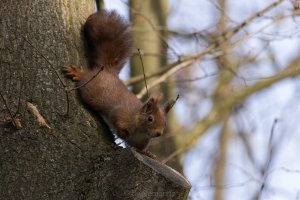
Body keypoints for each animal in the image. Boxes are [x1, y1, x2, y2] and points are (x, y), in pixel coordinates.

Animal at [62, 10, 177, 152]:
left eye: (165, 123)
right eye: (150, 119)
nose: (158, 133)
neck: (141, 131)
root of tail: (107, 70)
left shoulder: (142, 143)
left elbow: (141, 150)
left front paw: (149, 154)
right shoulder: (121, 114)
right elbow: (116, 120)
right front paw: (123, 134)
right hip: (91, 87)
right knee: (86, 77)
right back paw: (76, 73)